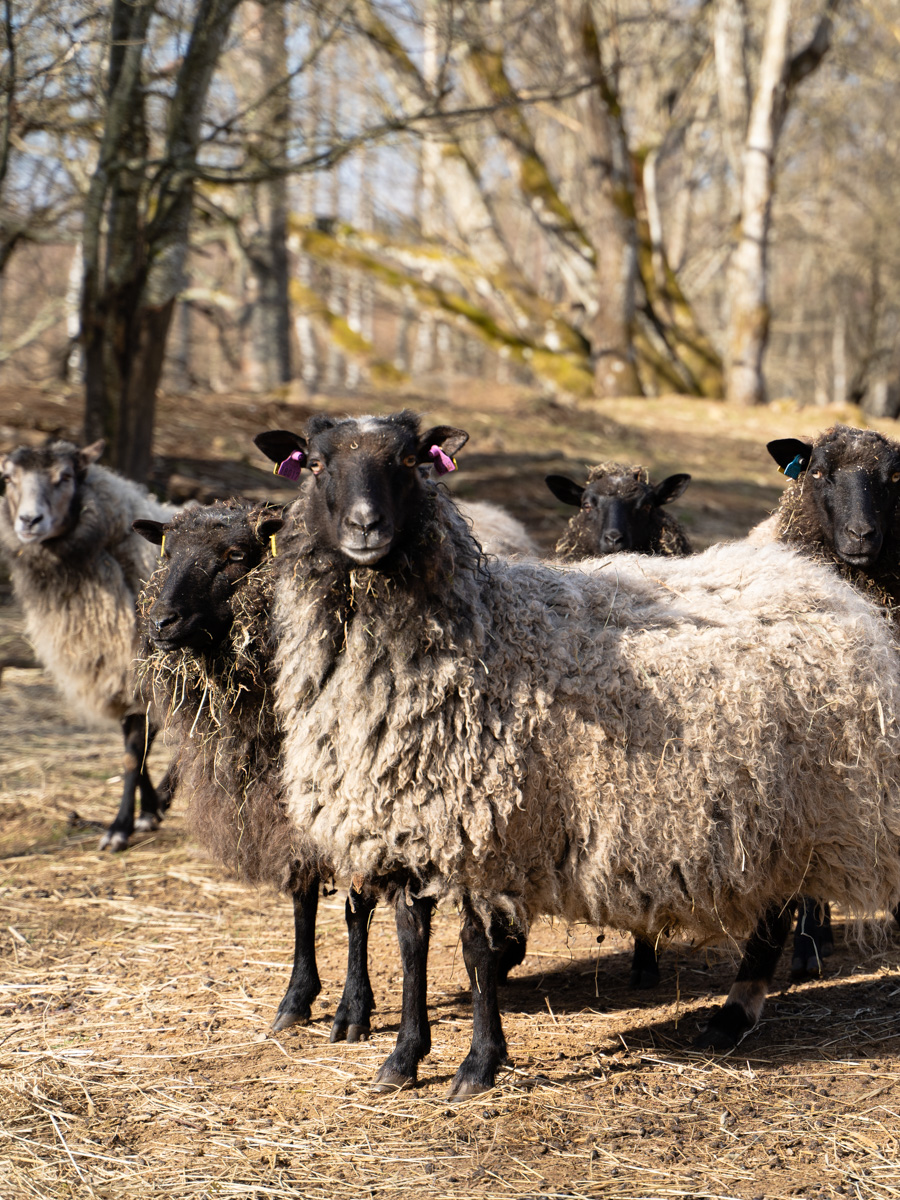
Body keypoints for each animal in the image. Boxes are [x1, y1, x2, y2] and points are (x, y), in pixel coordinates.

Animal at [0, 438, 177, 851]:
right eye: (8, 478)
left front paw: (119, 828)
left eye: (65, 477)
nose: (28, 521)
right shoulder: (117, 674)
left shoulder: (139, 669)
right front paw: (147, 813)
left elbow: (133, 752)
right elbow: (137, 746)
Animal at [134, 499, 378, 1038]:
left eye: (235, 556)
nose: (161, 622)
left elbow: (356, 908)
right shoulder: (283, 809)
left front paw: (353, 1010)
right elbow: (302, 899)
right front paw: (296, 999)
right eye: (168, 553)